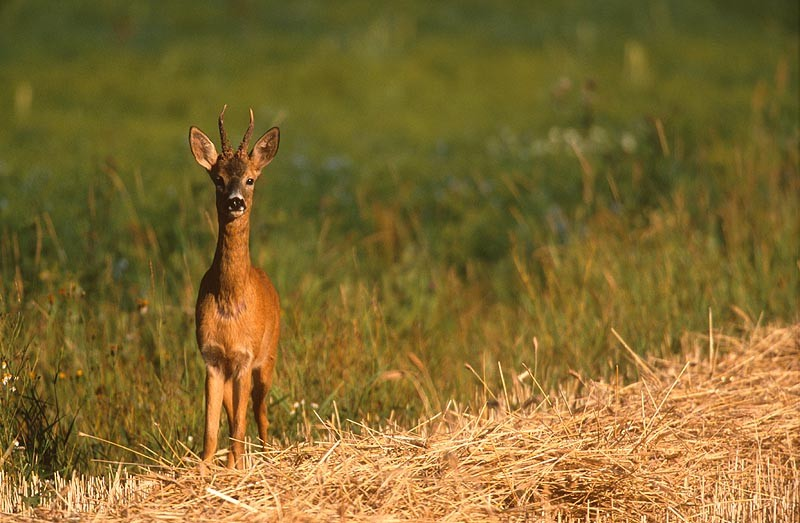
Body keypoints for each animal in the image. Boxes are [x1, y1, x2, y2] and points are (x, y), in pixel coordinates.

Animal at [188, 106, 282, 470]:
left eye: (250, 179)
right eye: (218, 178)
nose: (235, 202)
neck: (230, 300)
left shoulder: (245, 357)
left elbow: (240, 426)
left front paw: (235, 470)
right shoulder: (212, 358)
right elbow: (211, 429)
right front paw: (206, 469)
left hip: (268, 357)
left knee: (260, 412)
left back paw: (267, 454)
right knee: (234, 415)